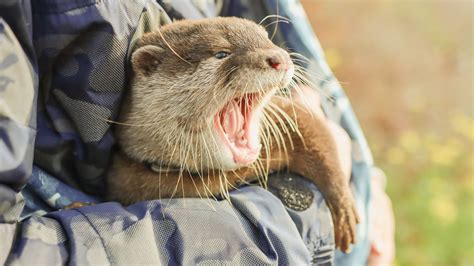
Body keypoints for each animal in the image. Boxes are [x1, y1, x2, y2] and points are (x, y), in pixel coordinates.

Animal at [107, 17, 360, 252]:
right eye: (221, 53)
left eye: (266, 38)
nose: (279, 58)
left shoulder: (289, 117)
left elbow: (320, 140)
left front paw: (344, 210)